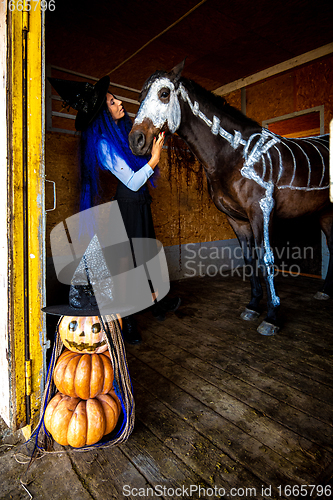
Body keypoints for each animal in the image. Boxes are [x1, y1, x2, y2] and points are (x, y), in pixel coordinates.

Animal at [127, 61, 332, 336]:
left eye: (164, 93)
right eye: (140, 97)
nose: (135, 140)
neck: (235, 153)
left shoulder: (262, 211)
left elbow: (267, 260)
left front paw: (272, 317)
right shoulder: (237, 219)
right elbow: (249, 259)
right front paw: (253, 306)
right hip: (325, 212)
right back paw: (324, 291)